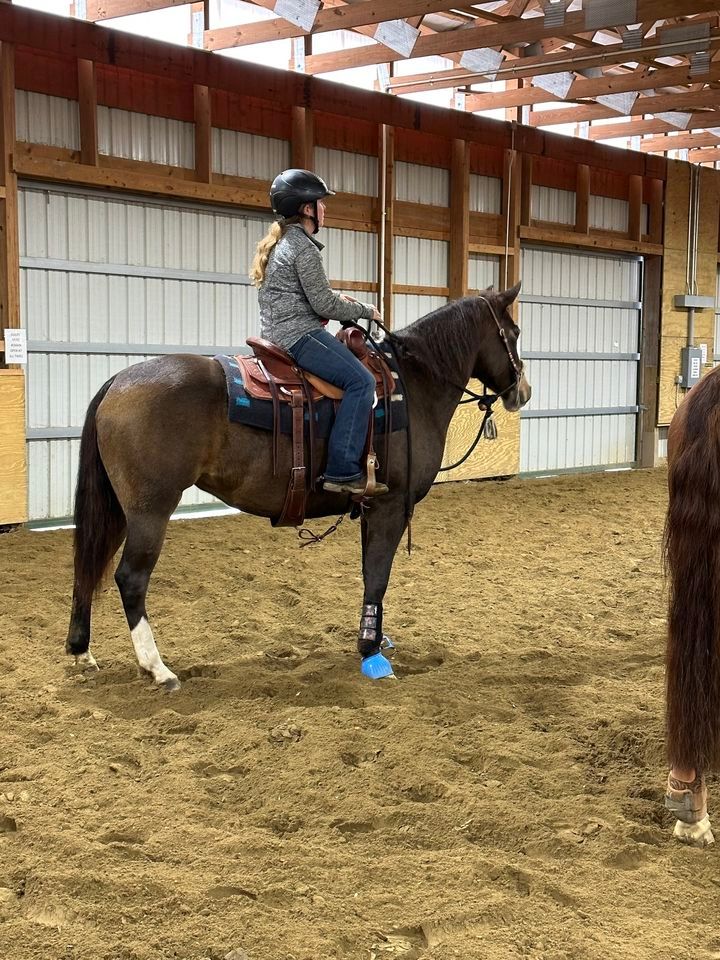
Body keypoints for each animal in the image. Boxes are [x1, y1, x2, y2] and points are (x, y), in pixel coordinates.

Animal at [65, 283, 531, 689]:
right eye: (513, 333)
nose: (522, 392)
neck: (412, 386)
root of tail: (118, 382)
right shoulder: (392, 506)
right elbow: (379, 575)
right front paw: (371, 653)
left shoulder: (372, 505)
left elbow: (369, 573)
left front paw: (375, 638)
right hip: (150, 510)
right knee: (130, 578)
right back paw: (157, 668)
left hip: (118, 510)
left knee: (88, 564)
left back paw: (81, 650)